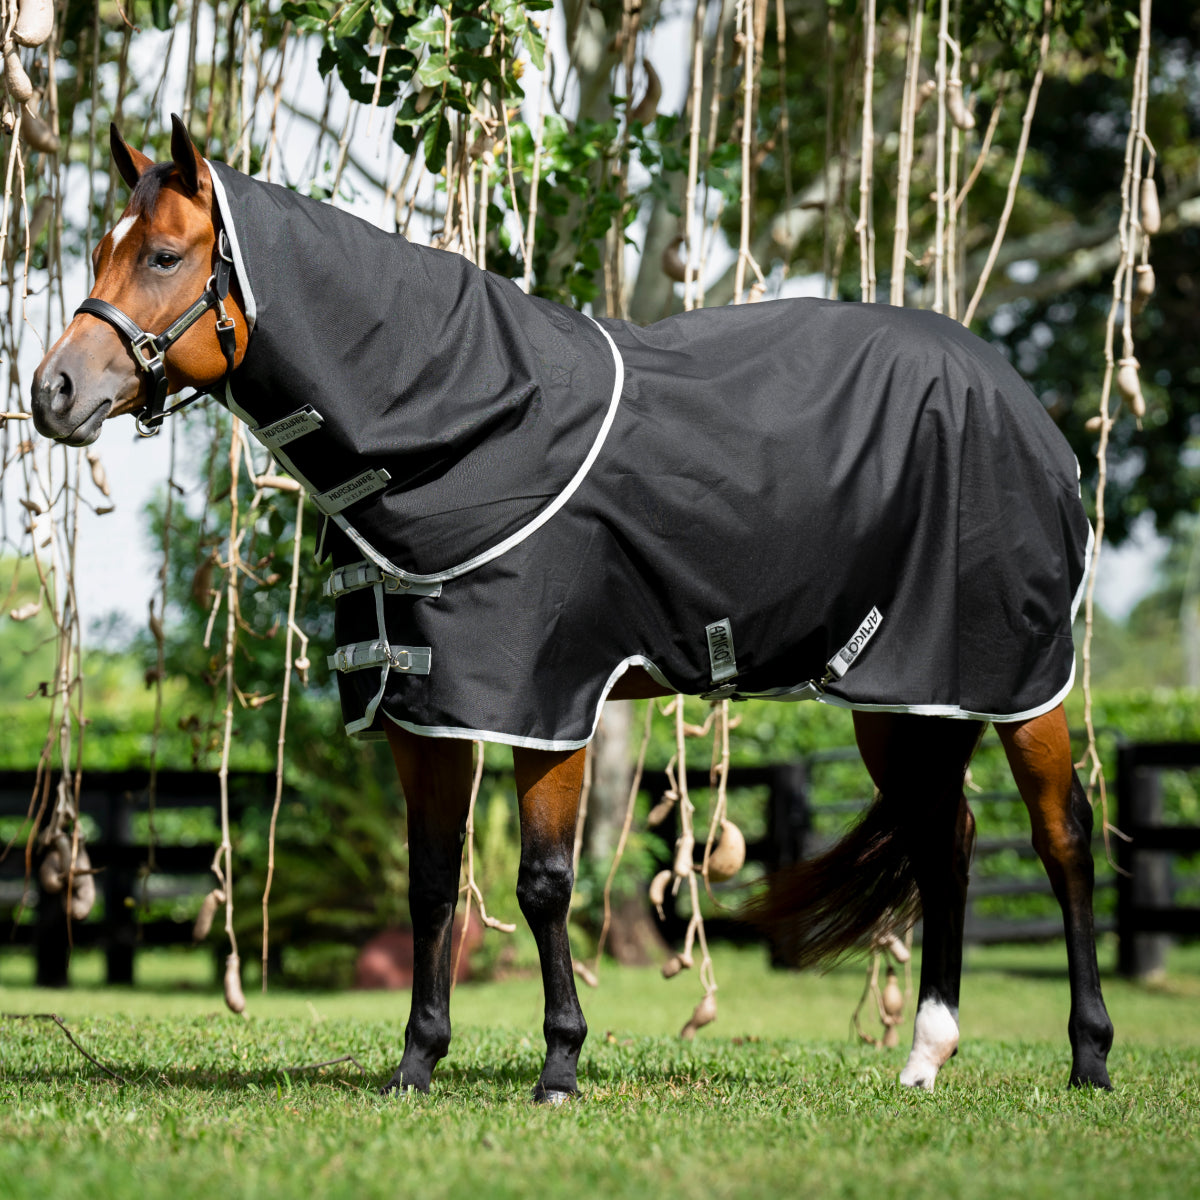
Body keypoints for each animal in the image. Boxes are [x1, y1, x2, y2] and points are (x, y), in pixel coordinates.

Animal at [31, 116, 1114, 1098]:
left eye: (165, 255)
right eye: (101, 252)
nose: (53, 391)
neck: (466, 422)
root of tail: (1015, 397)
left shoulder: (546, 705)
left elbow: (543, 883)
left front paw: (559, 1065)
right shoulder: (427, 713)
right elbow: (433, 884)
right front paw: (417, 1064)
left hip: (1019, 683)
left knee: (1062, 839)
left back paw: (1089, 1058)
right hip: (905, 695)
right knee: (945, 842)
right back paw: (927, 1054)